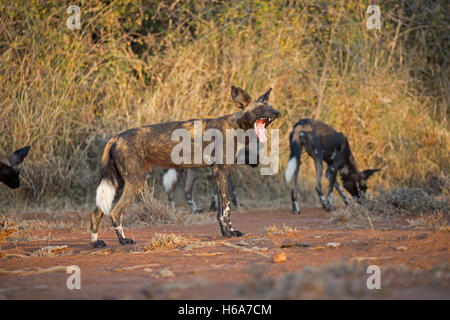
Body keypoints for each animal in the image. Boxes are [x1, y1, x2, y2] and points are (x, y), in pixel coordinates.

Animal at [89, 85, 280, 248]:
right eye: (260, 109)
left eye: (270, 106)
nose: (277, 112)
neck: (237, 126)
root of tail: (117, 136)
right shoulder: (222, 172)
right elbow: (226, 208)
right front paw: (231, 233)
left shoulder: (217, 173)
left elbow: (220, 210)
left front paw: (225, 232)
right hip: (136, 181)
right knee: (115, 211)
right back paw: (123, 240)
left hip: (119, 182)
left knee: (97, 211)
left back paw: (95, 242)